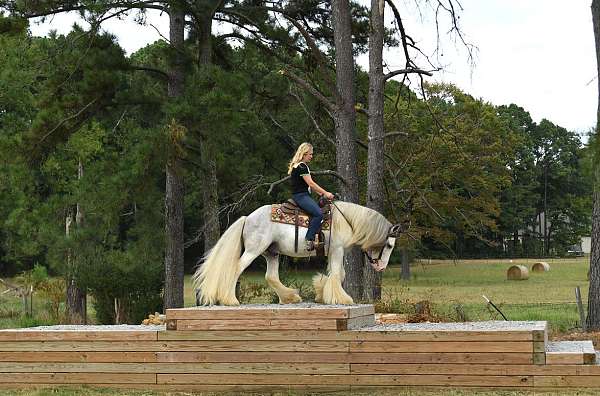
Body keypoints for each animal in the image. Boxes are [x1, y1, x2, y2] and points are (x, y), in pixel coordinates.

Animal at [195, 201, 406, 306]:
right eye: (389, 245)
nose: (381, 267)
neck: (347, 220)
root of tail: (247, 218)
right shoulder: (337, 249)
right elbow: (338, 274)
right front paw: (342, 299)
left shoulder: (335, 252)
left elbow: (338, 274)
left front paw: (321, 294)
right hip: (253, 251)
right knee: (236, 269)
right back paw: (230, 300)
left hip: (272, 253)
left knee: (271, 276)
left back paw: (290, 297)